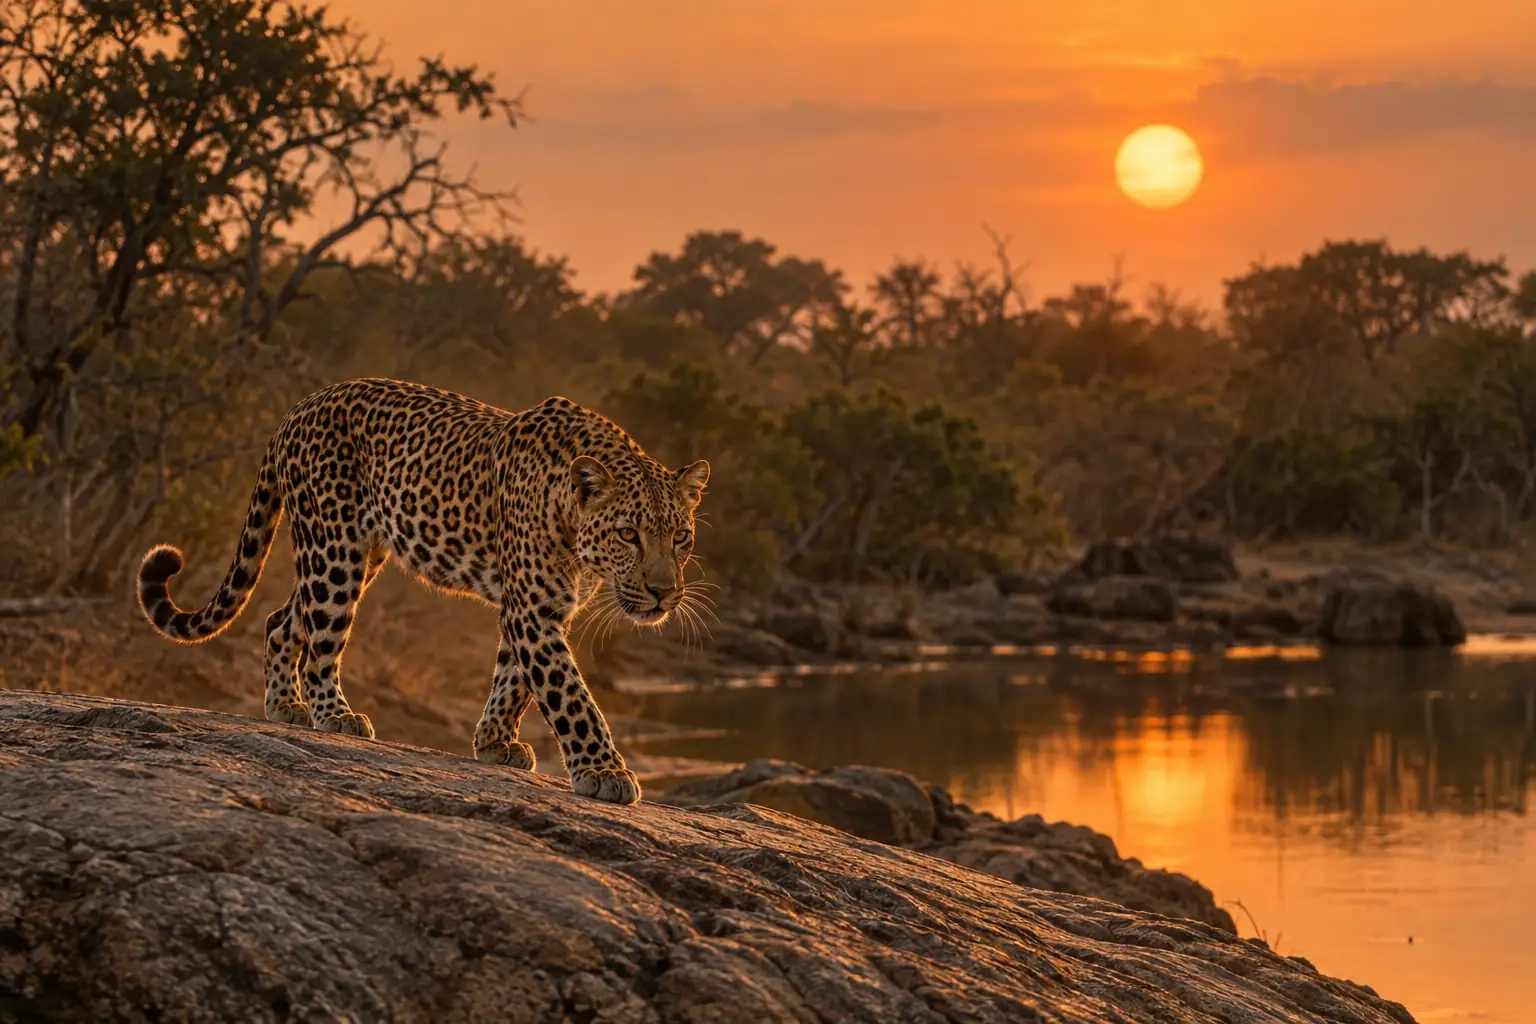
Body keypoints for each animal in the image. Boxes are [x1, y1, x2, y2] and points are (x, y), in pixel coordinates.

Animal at [135, 377, 710, 805]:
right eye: (629, 534)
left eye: (681, 537)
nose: (663, 593)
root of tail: (298, 407)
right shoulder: (533, 609)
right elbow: (568, 693)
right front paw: (605, 772)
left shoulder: (537, 608)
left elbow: (514, 679)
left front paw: (494, 741)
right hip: (334, 550)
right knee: (321, 641)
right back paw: (334, 715)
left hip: (358, 554)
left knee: (283, 622)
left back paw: (284, 706)